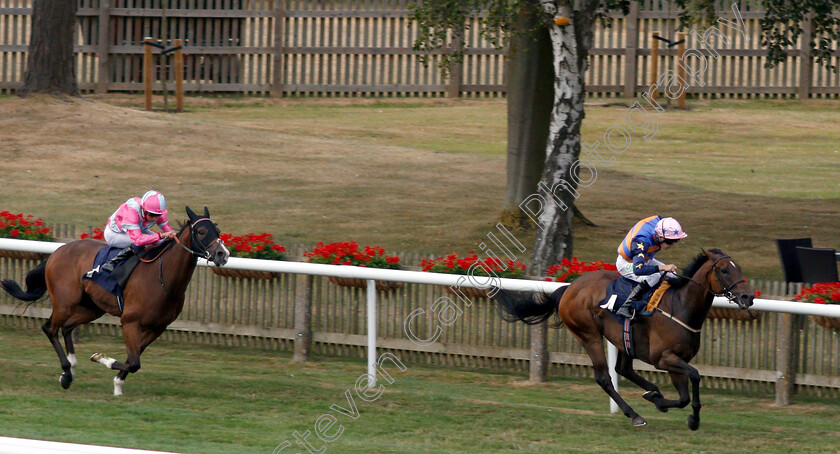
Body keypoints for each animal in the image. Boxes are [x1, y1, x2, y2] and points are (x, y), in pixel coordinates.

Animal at [0, 206, 230, 394]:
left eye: (218, 231)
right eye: (201, 231)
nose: (223, 254)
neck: (163, 278)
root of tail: (57, 251)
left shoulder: (157, 328)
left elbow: (134, 359)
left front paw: (118, 384)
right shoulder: (130, 322)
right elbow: (134, 362)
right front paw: (101, 358)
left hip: (92, 307)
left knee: (66, 328)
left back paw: (72, 365)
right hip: (65, 303)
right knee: (50, 328)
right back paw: (66, 374)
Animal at [492, 248, 756, 430]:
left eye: (740, 268)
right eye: (724, 270)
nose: (747, 297)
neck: (681, 306)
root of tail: (569, 288)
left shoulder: (675, 361)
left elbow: (683, 397)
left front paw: (668, 405)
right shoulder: (664, 358)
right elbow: (695, 375)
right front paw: (687, 415)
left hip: (623, 339)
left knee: (623, 368)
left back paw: (652, 392)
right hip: (589, 334)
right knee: (604, 377)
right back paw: (635, 414)